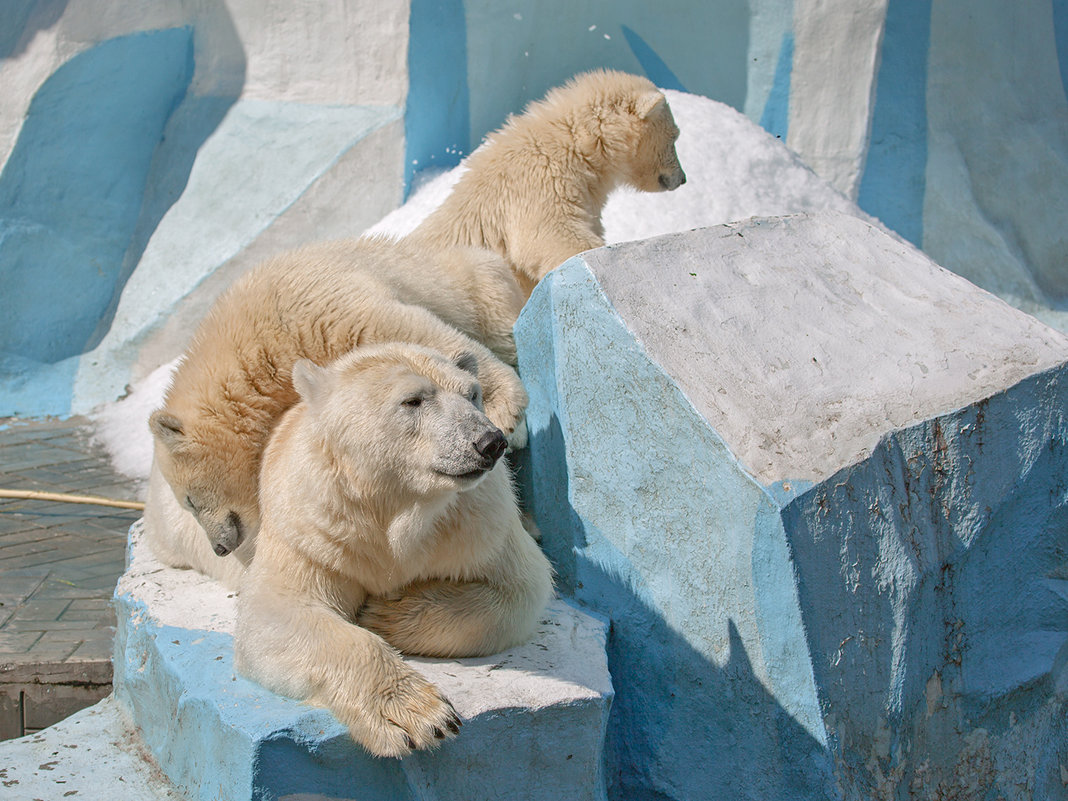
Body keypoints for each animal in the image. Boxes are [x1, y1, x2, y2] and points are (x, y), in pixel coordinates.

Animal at [144, 234, 527, 585]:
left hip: (470, 281)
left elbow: (406, 329)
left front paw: (506, 412)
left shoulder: (308, 312)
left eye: (190, 500)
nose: (219, 547)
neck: (249, 355)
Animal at [232, 346, 551, 760]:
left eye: (473, 394)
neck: (394, 505)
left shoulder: (479, 525)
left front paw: (385, 613)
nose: (489, 442)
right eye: (412, 400)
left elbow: (522, 586)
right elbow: (277, 609)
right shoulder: (313, 534)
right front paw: (421, 714)